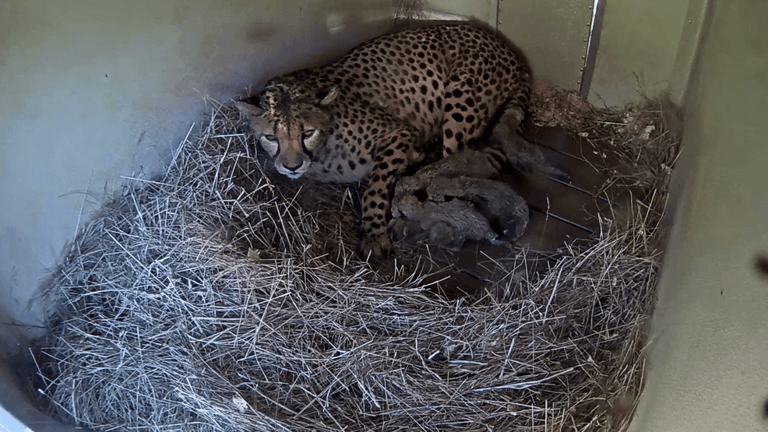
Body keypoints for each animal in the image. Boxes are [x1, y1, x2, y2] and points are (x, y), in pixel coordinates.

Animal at [236, 23, 564, 259]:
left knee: (457, 160)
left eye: (307, 133)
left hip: (460, 97)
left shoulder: (398, 133)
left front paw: (374, 234)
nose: (292, 166)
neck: (322, 152)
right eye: (271, 137)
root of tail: (509, 50)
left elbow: (376, 185)